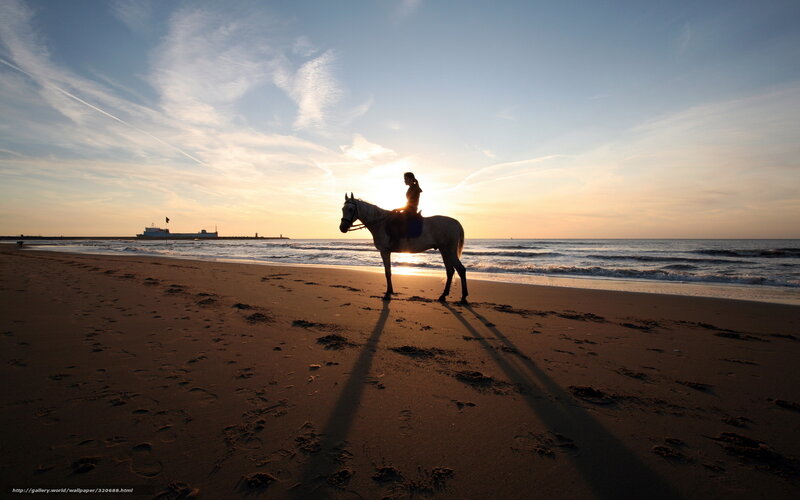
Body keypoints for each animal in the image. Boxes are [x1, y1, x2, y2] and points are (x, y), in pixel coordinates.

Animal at [339, 193, 468, 303]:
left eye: (350, 209)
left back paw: (463, 297)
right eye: (343, 209)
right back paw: (443, 296)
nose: (342, 228)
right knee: (450, 271)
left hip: (450, 251)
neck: (380, 223)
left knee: (461, 270)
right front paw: (390, 291)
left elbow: (387, 272)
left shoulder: (384, 251)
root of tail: (456, 223)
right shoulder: (387, 252)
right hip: (444, 250)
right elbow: (389, 272)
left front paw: (388, 293)